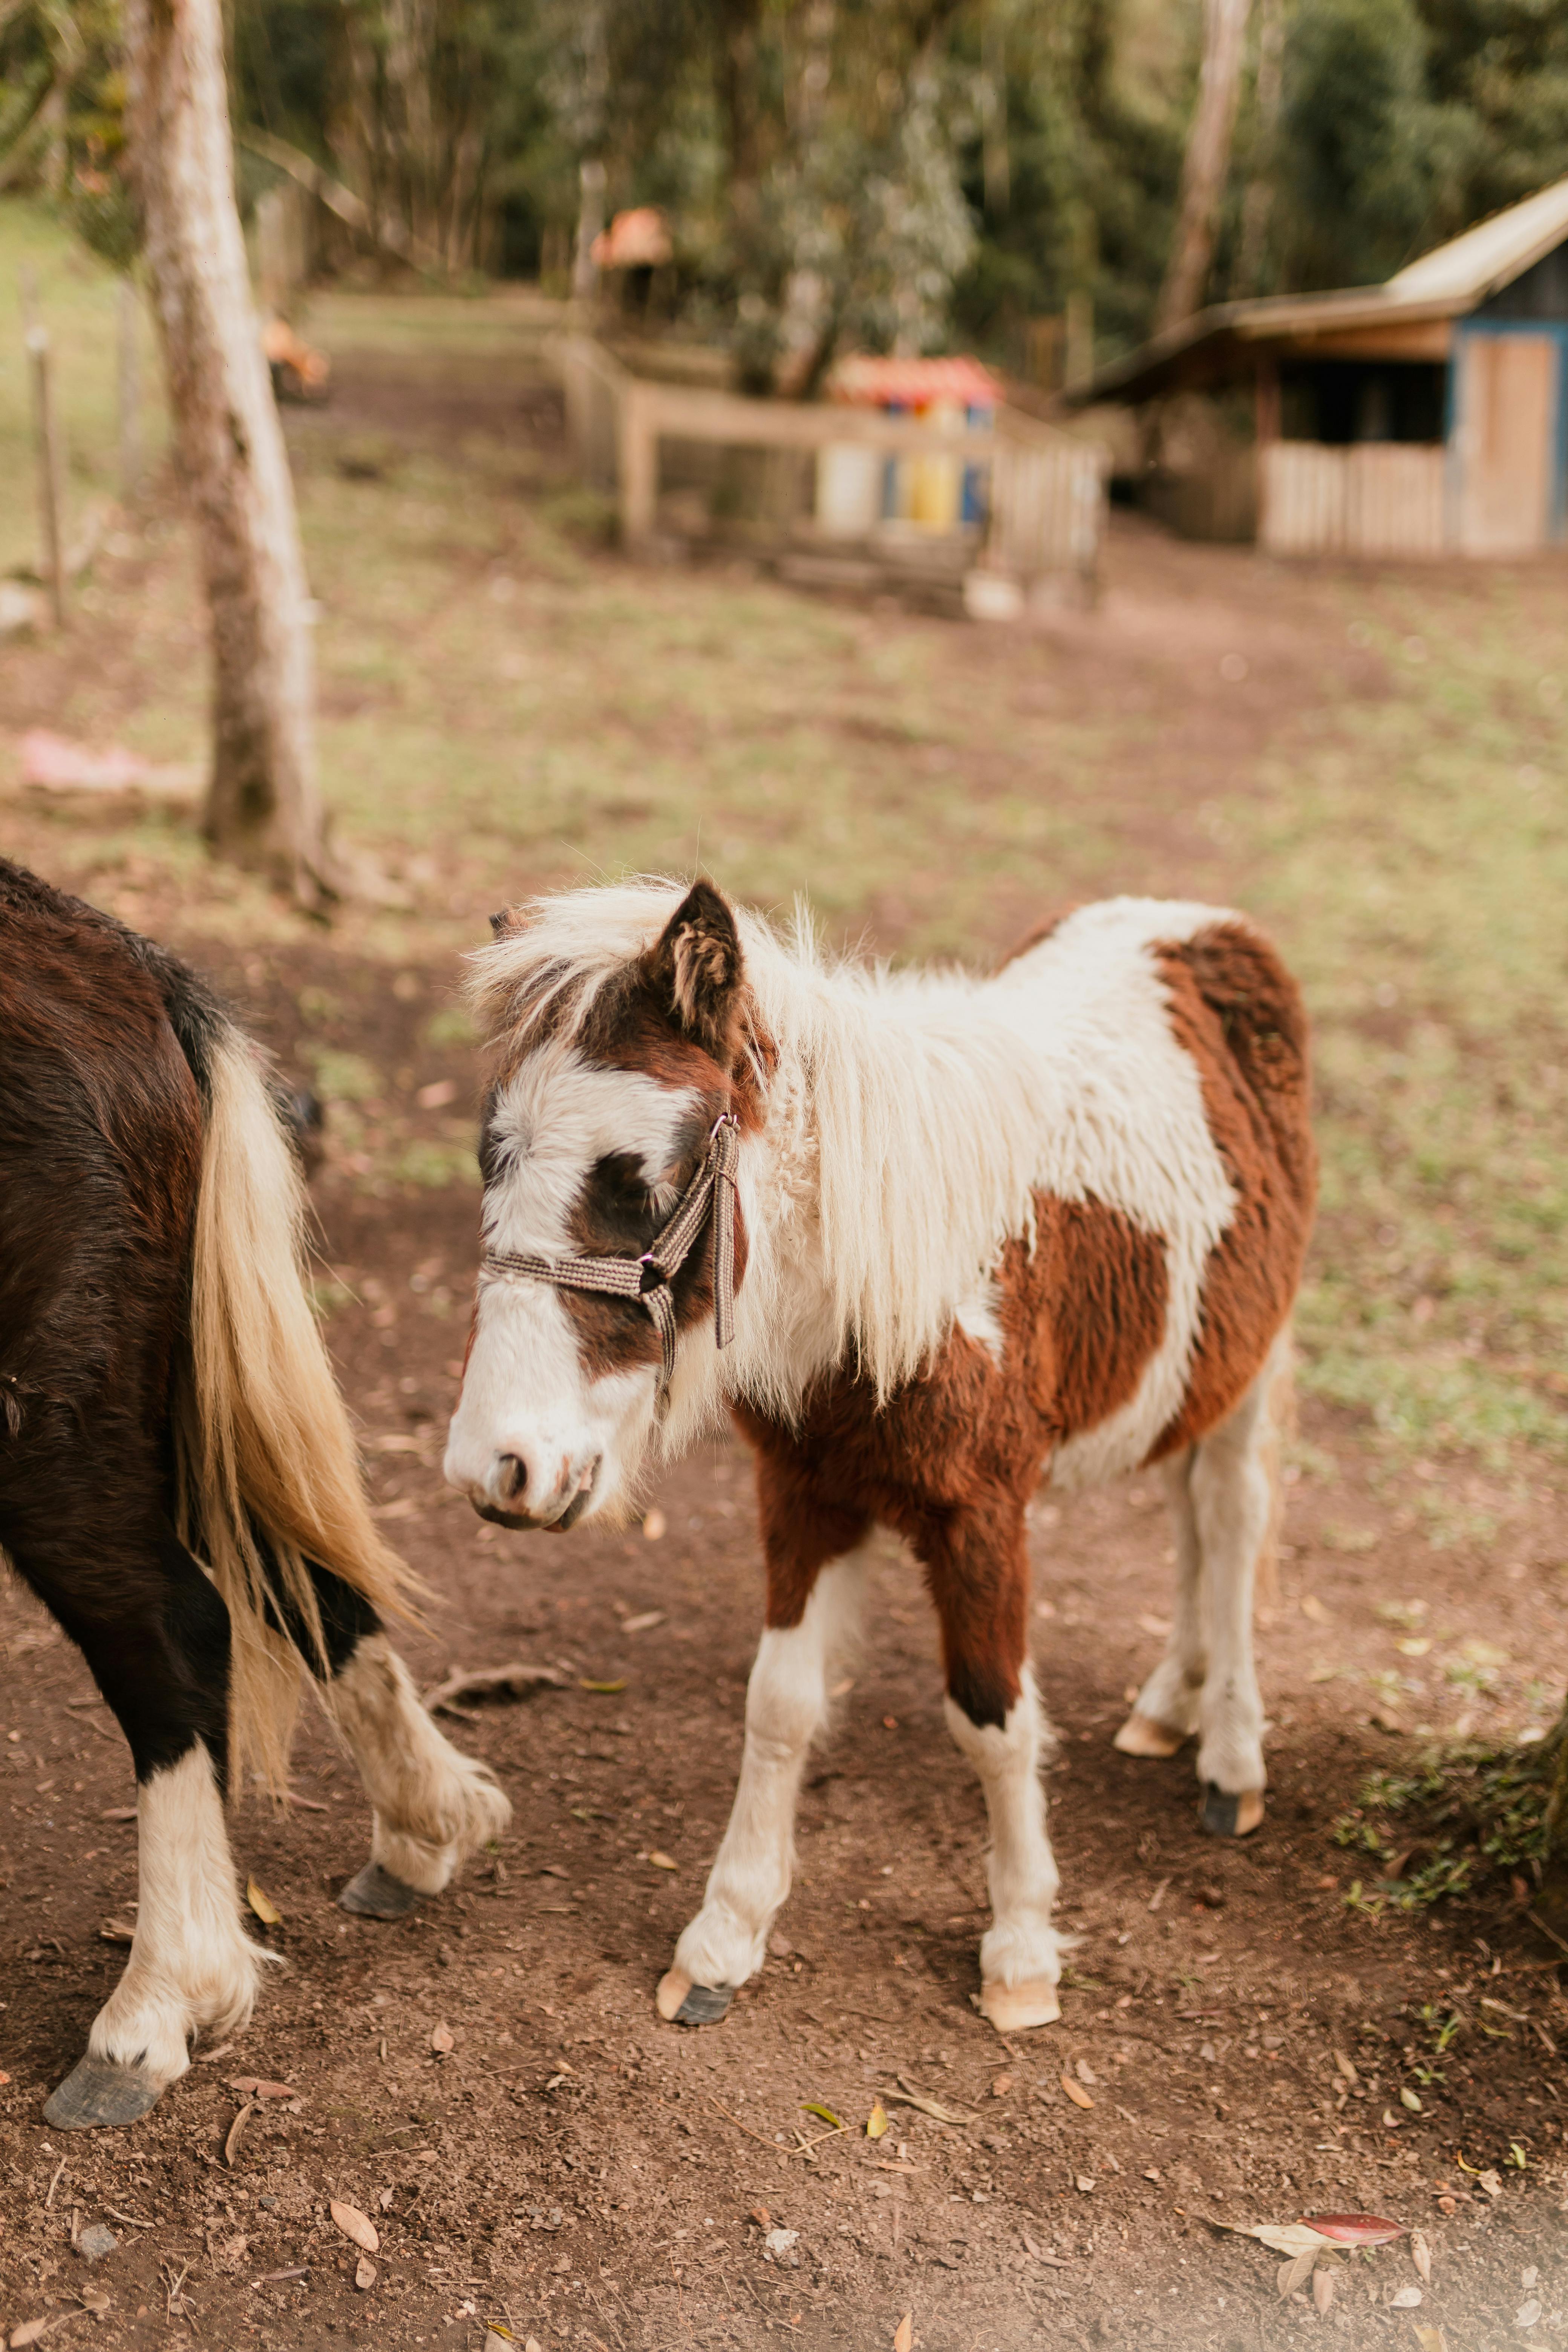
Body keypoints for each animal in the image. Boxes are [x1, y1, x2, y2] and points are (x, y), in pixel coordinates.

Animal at [0, 861, 508, 2128]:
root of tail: (122, 963)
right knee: (302, 1575)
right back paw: (427, 1824)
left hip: (50, 1423)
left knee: (170, 1629)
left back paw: (156, 2006)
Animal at [445, 879, 1315, 2035]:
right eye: (490, 1160)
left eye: (638, 1182)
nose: (497, 1467)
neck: (893, 1286)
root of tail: (1199, 921)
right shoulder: (805, 1494)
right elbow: (780, 1706)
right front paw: (724, 1940)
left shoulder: (983, 1513)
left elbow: (994, 1717)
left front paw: (1021, 1950)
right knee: (1188, 1519)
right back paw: (1169, 1706)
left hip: (1253, 1370)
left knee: (1231, 1519)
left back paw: (1230, 1754)